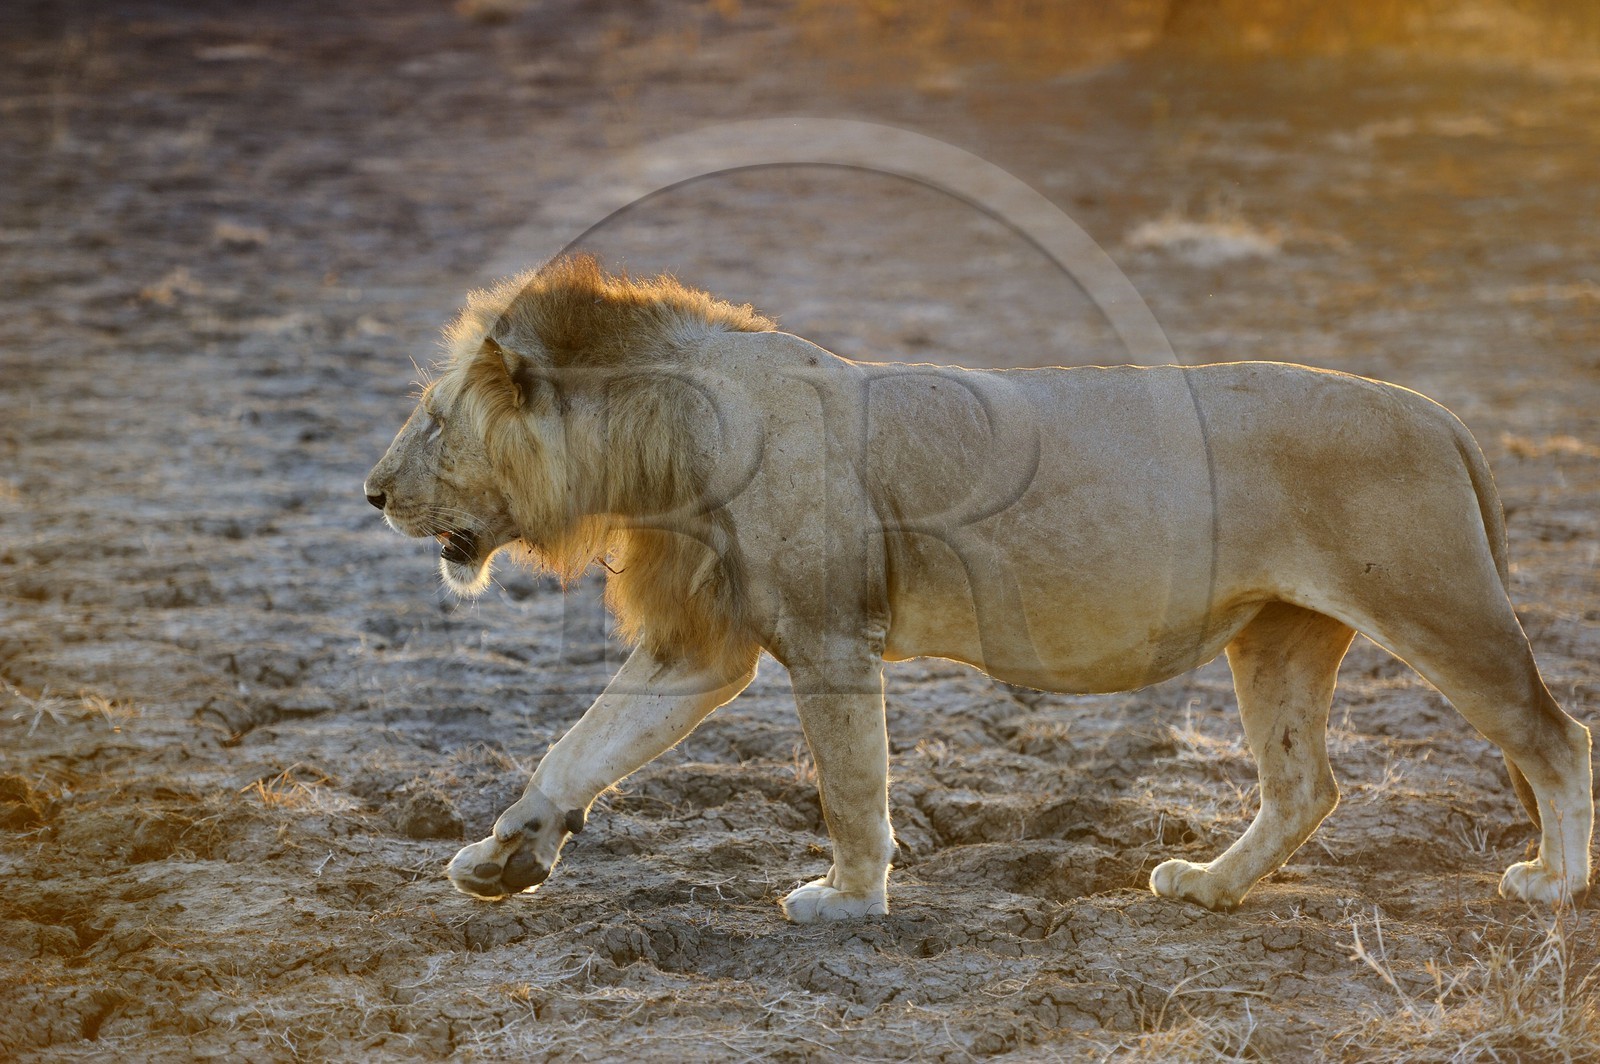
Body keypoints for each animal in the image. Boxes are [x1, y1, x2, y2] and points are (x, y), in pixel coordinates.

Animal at [364, 255, 1592, 921]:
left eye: (431, 419)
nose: (372, 493)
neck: (661, 441)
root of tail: (1434, 409)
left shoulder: (829, 637)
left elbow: (852, 784)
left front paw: (848, 900)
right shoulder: (700, 644)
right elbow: (579, 746)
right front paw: (501, 859)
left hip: (1440, 607)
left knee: (1554, 732)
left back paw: (1553, 882)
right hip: (1280, 635)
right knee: (1306, 787)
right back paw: (1206, 886)